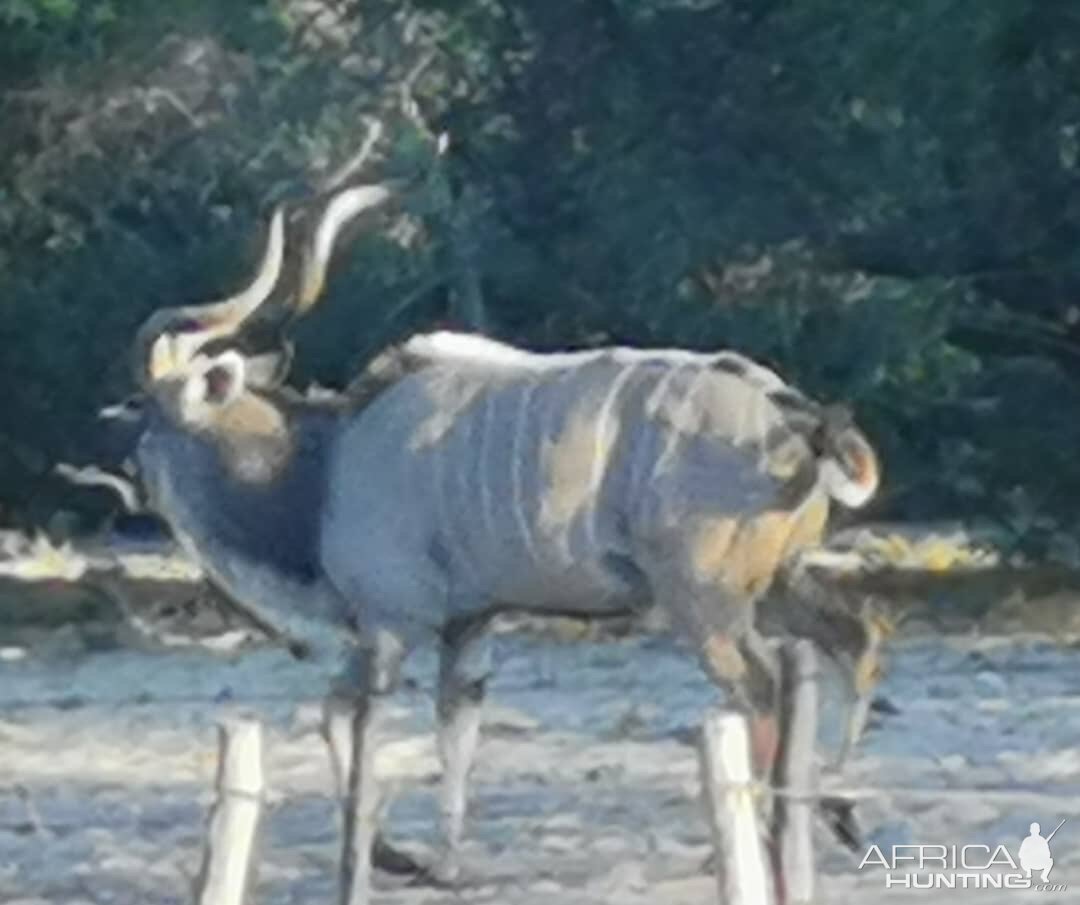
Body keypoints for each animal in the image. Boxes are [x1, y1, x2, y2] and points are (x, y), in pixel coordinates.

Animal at [116, 180, 876, 902]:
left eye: (151, 410)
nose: (134, 477)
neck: (328, 460)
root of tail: (796, 420)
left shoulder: (393, 624)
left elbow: (343, 717)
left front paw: (390, 854)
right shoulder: (469, 624)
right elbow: (456, 731)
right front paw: (445, 864)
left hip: (706, 605)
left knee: (764, 689)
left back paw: (762, 838)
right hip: (778, 582)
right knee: (854, 642)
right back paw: (837, 810)